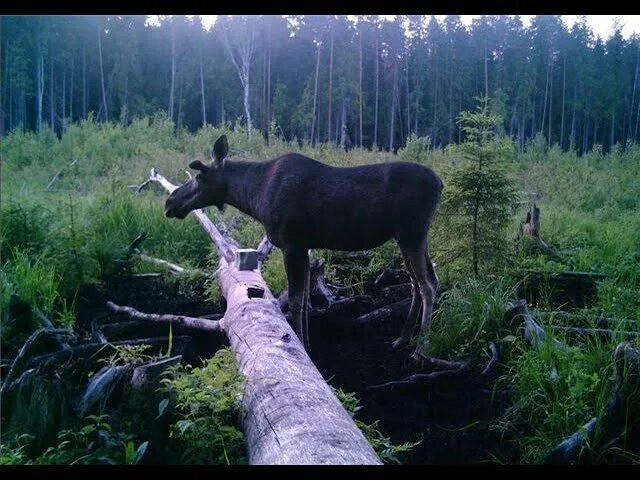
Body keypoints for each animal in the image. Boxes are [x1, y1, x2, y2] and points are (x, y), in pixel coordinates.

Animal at [165, 135, 442, 352]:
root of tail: (440, 183)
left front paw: (302, 344)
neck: (254, 197)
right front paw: (307, 341)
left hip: (413, 233)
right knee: (418, 282)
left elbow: (297, 301)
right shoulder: (305, 246)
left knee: (427, 284)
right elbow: (307, 299)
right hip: (405, 237)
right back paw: (402, 338)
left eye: (200, 176)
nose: (170, 201)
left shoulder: (292, 244)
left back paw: (421, 347)